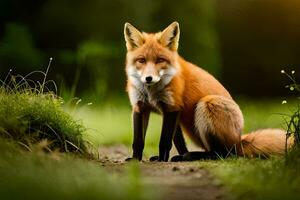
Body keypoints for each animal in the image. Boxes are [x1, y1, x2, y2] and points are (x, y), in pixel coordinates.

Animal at [123, 21, 292, 162]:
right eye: (141, 60)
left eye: (160, 60)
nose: (148, 78)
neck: (151, 93)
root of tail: (239, 140)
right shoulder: (141, 107)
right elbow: (138, 141)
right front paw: (136, 159)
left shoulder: (172, 107)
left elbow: (164, 140)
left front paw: (162, 160)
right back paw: (182, 155)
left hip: (207, 104)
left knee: (224, 154)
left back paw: (191, 156)